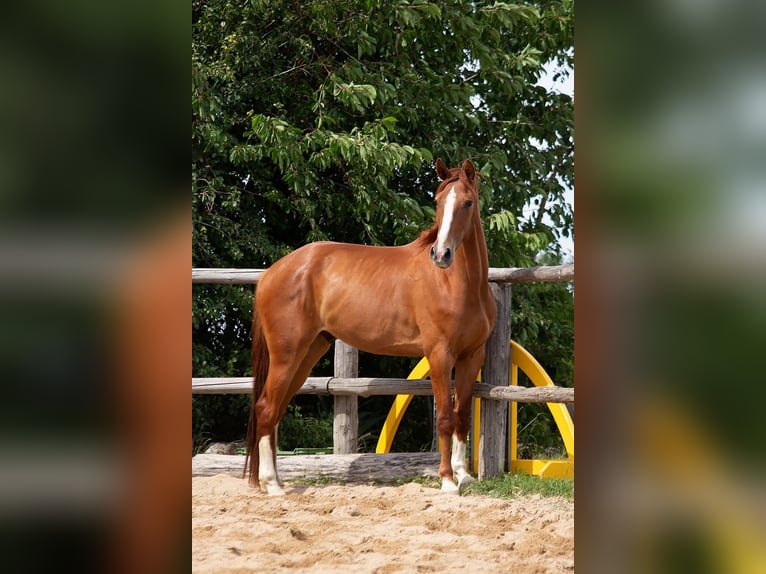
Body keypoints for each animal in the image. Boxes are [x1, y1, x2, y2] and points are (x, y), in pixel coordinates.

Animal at [245, 159, 497, 495]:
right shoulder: (439, 355)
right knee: (265, 408)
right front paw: (447, 481)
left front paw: (464, 475)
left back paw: (276, 480)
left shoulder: (472, 355)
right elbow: (445, 416)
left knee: (274, 411)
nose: (441, 254)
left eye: (468, 202)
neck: (456, 283)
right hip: (286, 355)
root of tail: (271, 273)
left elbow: (462, 415)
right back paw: (272, 485)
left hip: (308, 353)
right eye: (438, 201)